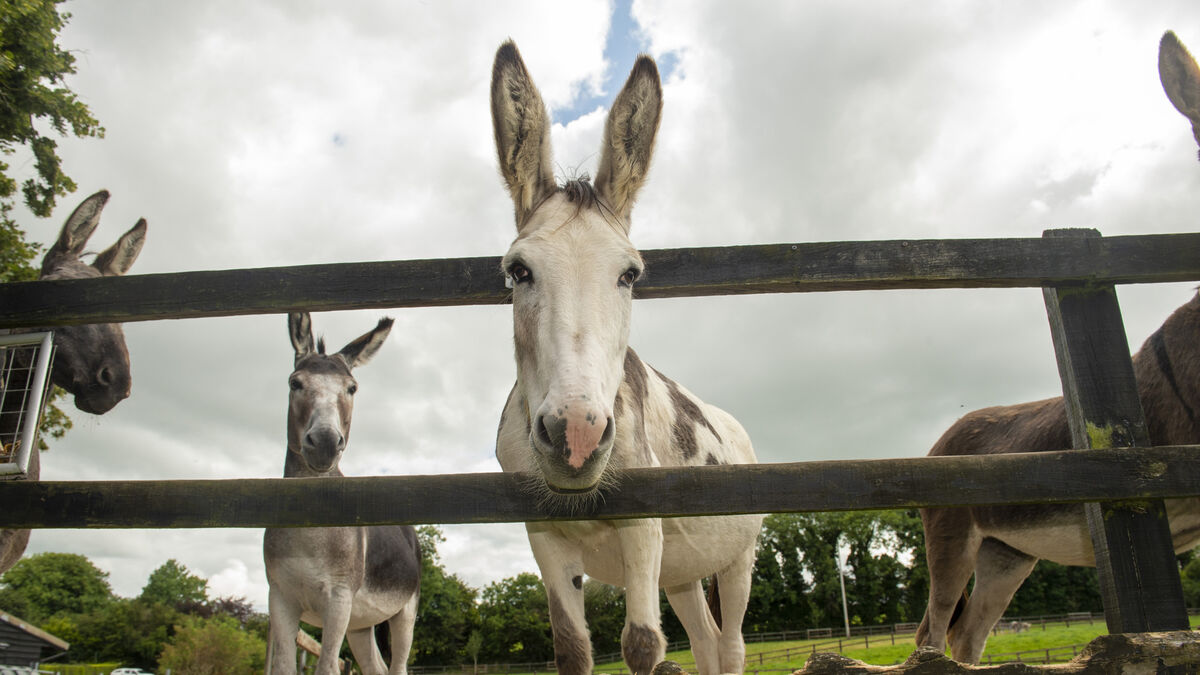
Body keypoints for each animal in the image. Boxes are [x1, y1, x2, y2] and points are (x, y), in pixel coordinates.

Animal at [263, 312, 420, 675]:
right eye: (295, 383)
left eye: (352, 388)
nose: (323, 443)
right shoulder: (280, 598)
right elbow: (284, 666)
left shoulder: (338, 598)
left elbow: (326, 668)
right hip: (360, 625)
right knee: (376, 667)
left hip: (404, 612)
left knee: (398, 666)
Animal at [490, 41, 763, 675]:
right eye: (518, 271)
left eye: (630, 275)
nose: (576, 435)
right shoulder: (543, 533)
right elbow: (572, 650)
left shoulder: (642, 524)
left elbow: (641, 645)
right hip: (682, 573)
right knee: (706, 640)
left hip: (736, 558)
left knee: (731, 644)